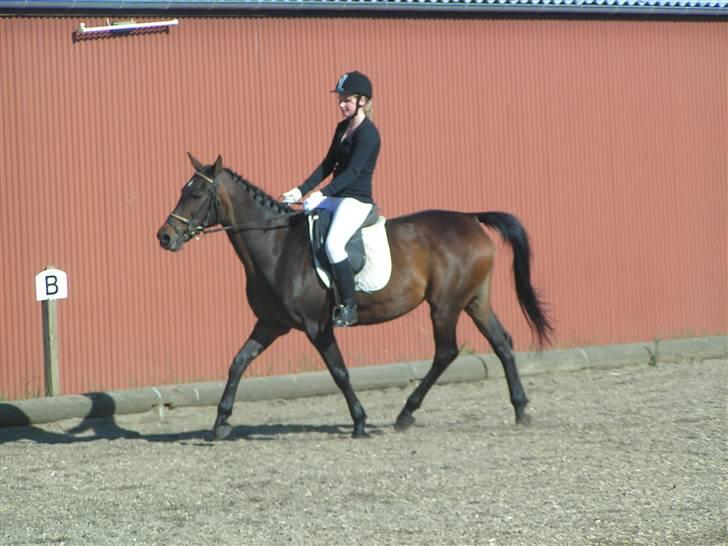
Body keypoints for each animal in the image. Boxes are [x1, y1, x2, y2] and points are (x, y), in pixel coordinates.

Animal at [157, 154, 553, 440]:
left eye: (195, 194)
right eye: (182, 190)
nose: (164, 236)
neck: (275, 246)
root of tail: (470, 219)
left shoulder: (317, 327)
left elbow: (339, 371)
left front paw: (360, 423)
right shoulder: (270, 324)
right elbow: (238, 362)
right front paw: (221, 423)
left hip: (445, 306)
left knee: (446, 352)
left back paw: (406, 414)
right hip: (474, 300)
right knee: (502, 343)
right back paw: (521, 409)